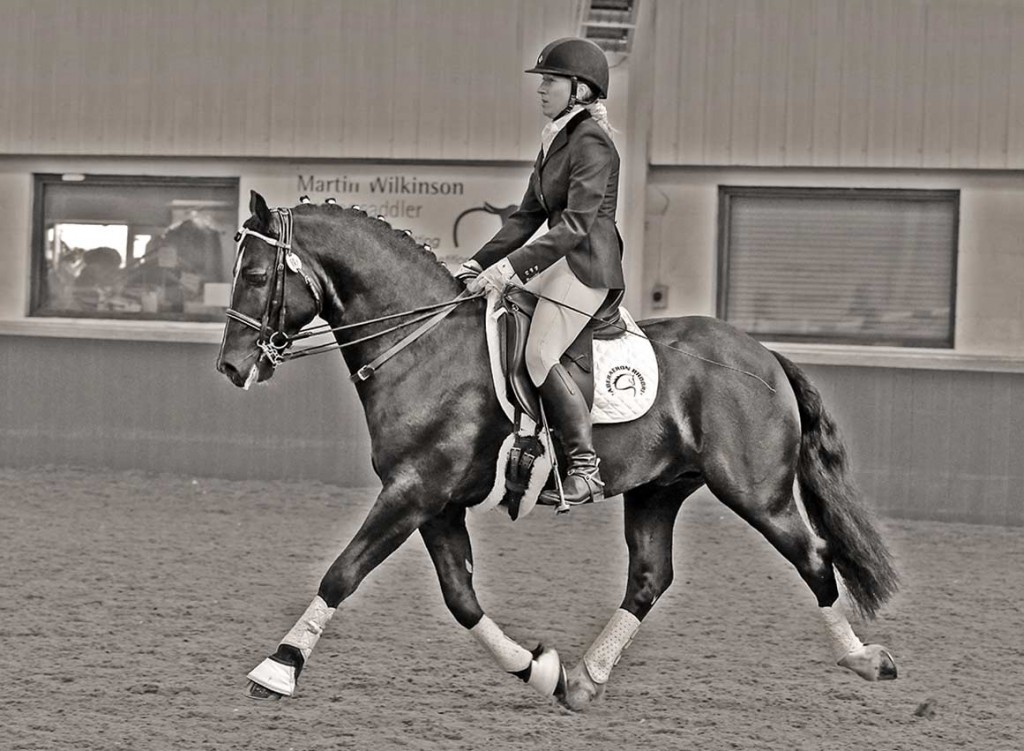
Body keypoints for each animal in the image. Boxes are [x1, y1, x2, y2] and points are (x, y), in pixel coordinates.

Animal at [214, 188, 897, 708]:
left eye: (256, 275)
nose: (231, 367)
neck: (423, 344)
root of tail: (765, 355)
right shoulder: (435, 502)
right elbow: (460, 599)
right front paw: (538, 670)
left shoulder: (414, 489)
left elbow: (343, 572)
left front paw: (278, 668)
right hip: (658, 489)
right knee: (650, 579)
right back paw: (584, 680)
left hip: (755, 490)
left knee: (813, 555)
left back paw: (867, 660)